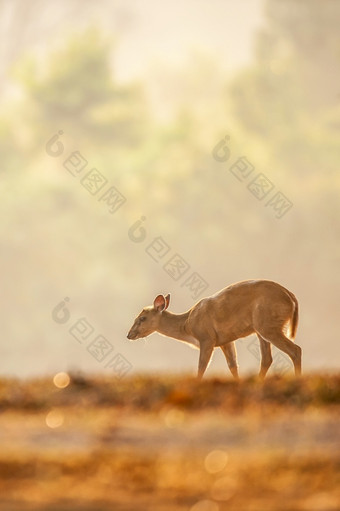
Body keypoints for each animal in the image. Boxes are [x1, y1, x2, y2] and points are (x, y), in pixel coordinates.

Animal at [127, 280, 300, 380]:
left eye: (142, 318)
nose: (129, 334)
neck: (187, 325)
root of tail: (291, 297)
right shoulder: (225, 340)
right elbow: (232, 366)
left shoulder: (207, 337)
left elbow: (201, 366)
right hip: (261, 328)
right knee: (267, 359)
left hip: (267, 323)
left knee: (295, 350)